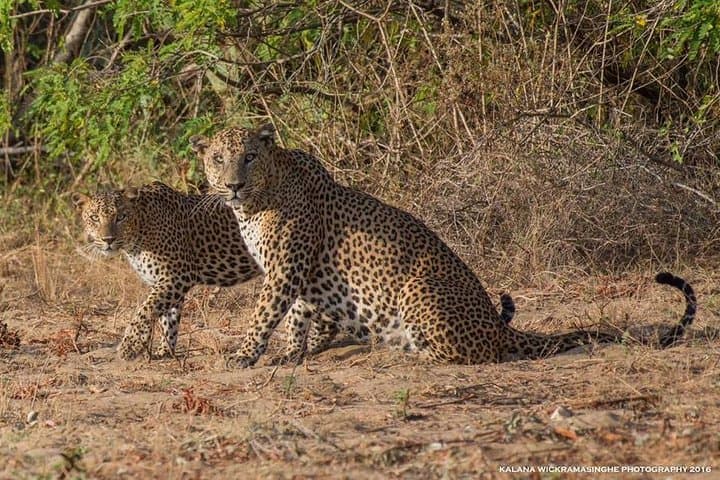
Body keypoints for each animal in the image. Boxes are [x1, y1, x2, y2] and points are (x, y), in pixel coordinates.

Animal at [72, 181, 373, 361]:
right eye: (94, 218)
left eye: (121, 216)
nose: (108, 239)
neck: (138, 234)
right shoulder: (168, 283)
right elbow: (168, 318)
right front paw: (163, 351)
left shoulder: (175, 277)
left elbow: (145, 310)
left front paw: (129, 346)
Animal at [189, 124, 695, 366]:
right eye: (217, 158)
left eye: (249, 157)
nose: (233, 185)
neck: (255, 202)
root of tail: (495, 324)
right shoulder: (297, 271)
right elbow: (297, 315)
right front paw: (295, 353)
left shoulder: (286, 267)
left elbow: (265, 314)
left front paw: (244, 355)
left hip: (419, 290)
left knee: (473, 355)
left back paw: (406, 351)